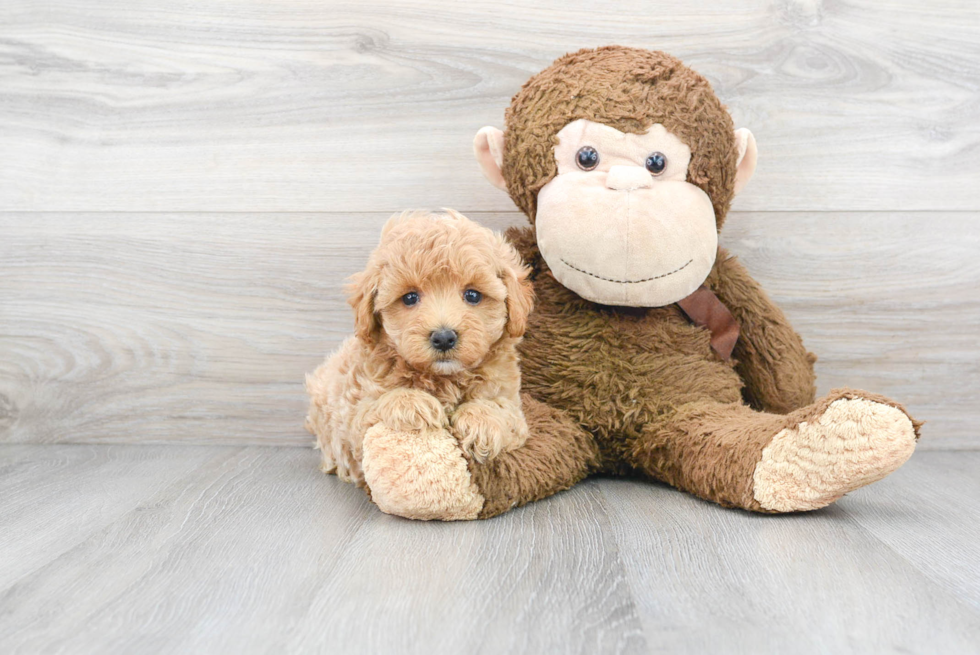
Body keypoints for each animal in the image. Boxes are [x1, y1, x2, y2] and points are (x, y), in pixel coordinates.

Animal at [306, 208, 536, 490]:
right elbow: (376, 405)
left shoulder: (511, 402)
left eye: (473, 295)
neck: (443, 378)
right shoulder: (351, 416)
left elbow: (499, 408)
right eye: (409, 298)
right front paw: (414, 403)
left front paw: (480, 422)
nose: (444, 337)